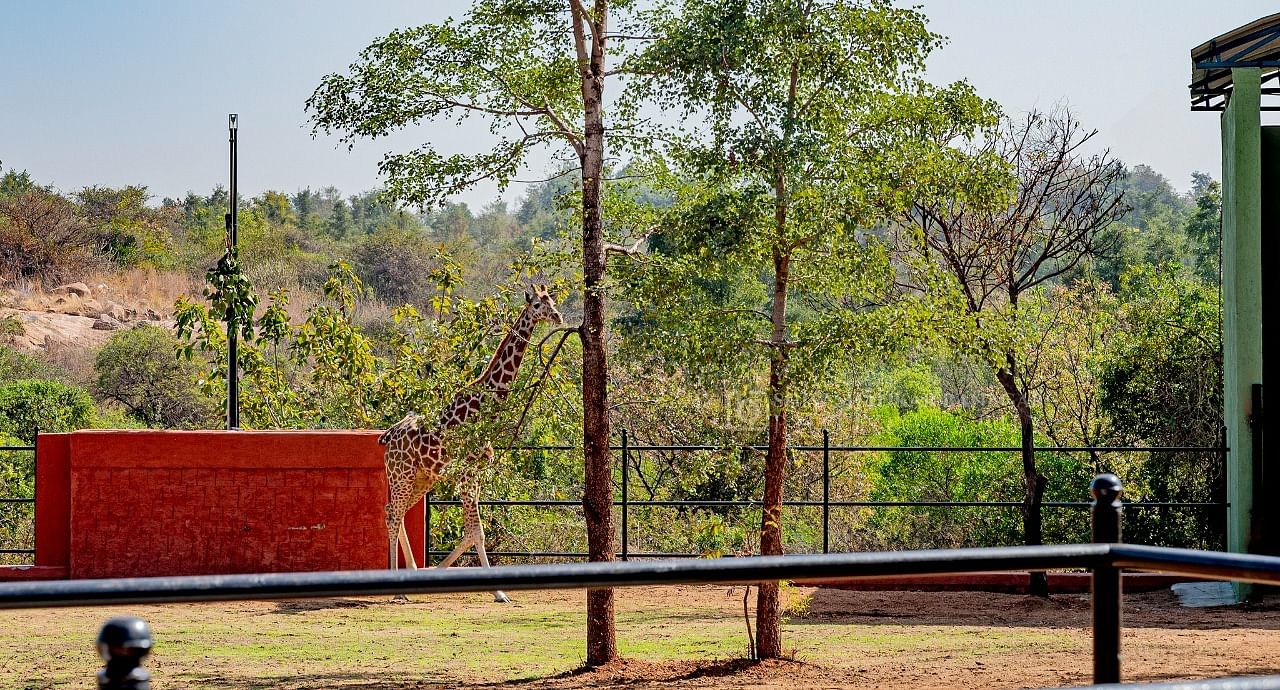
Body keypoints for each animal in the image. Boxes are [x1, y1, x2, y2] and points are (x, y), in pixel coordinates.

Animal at [376, 282, 563, 601]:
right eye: (538, 305)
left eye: (551, 300)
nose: (558, 316)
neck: (484, 407)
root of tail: (388, 436)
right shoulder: (466, 474)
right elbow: (477, 532)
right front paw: (498, 592)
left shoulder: (476, 474)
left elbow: (472, 532)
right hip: (401, 474)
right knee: (392, 515)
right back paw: (397, 588)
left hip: (422, 477)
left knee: (394, 512)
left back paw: (410, 572)